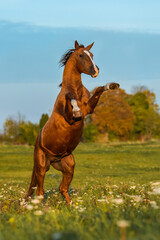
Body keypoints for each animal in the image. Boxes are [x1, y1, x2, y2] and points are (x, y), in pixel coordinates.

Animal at [25, 40, 119, 203]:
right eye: (81, 55)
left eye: (92, 54)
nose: (95, 71)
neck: (76, 89)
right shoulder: (69, 117)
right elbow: (71, 98)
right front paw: (75, 109)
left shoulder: (89, 109)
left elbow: (99, 89)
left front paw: (112, 85)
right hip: (41, 166)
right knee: (40, 192)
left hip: (68, 165)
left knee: (62, 188)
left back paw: (73, 206)